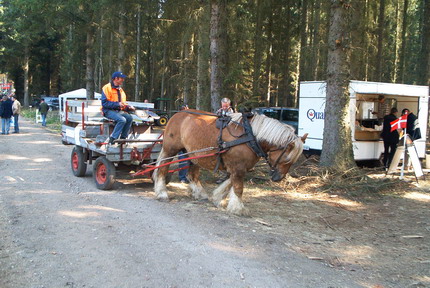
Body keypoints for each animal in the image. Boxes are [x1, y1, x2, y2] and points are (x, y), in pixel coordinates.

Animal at [153, 109, 308, 215]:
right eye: (286, 158)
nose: (278, 178)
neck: (250, 136)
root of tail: (178, 113)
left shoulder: (239, 167)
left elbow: (229, 184)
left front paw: (218, 198)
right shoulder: (237, 167)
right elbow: (238, 187)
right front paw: (238, 208)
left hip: (192, 154)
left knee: (192, 175)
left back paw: (200, 194)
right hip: (170, 150)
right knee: (162, 169)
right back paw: (162, 193)